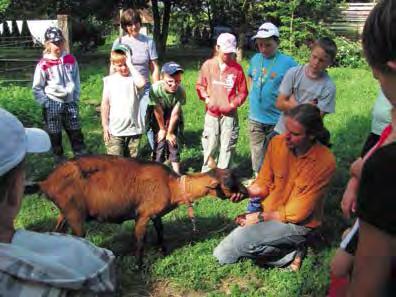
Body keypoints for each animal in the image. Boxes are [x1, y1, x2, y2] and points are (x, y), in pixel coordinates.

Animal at [39, 154, 244, 264]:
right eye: (229, 183)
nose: (246, 192)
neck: (173, 186)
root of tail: (46, 182)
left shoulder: (155, 214)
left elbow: (160, 230)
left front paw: (163, 250)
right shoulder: (143, 215)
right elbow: (140, 239)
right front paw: (139, 264)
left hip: (65, 212)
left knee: (57, 231)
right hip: (75, 216)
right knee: (77, 238)